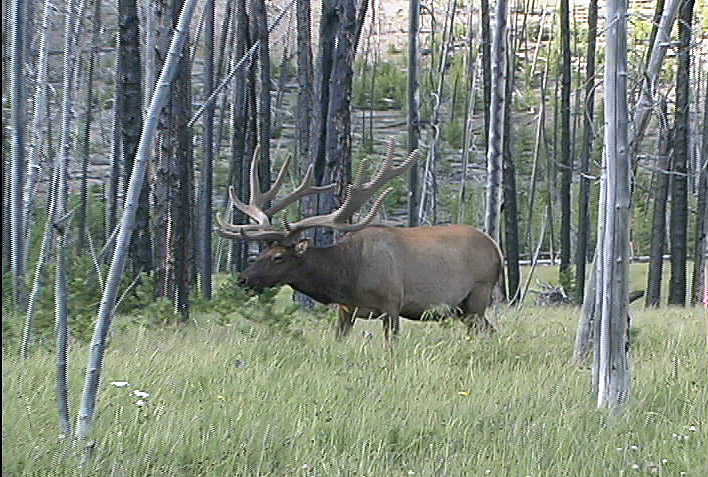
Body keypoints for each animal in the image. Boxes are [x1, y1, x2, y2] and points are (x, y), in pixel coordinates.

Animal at [218, 140, 506, 338]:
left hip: (478, 295)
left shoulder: (392, 304)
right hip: (463, 309)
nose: (243, 279)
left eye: (278, 257)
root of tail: (497, 250)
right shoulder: (345, 310)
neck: (346, 277)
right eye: (261, 252)